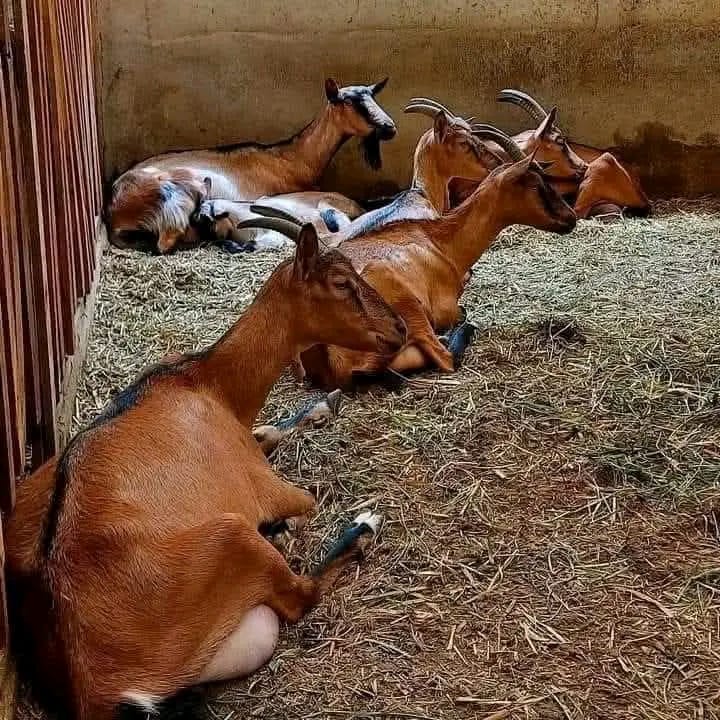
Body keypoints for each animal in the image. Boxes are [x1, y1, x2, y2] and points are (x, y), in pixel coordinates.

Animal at [4, 224, 407, 720]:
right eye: (342, 284)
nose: (400, 329)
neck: (209, 383)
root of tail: (95, 688)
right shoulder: (262, 484)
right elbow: (304, 499)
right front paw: (293, 520)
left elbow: (268, 432)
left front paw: (320, 407)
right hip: (229, 536)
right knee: (301, 595)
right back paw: (359, 526)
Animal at [106, 78, 396, 254]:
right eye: (352, 102)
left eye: (373, 96)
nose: (390, 127)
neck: (289, 159)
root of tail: (114, 208)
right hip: (183, 192)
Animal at [241, 129, 576, 392]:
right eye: (537, 184)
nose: (570, 218)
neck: (439, 241)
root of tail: (323, 351)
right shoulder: (443, 307)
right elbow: (459, 318)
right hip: (405, 306)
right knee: (444, 356)